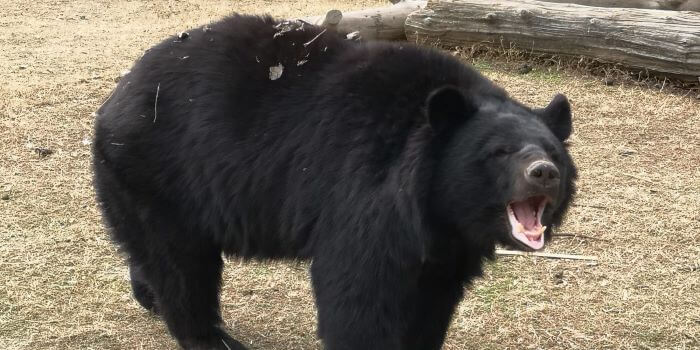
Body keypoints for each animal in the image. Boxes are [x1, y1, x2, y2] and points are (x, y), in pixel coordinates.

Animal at [91, 12, 576, 350]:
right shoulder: (365, 194)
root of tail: (113, 101)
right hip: (162, 171)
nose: (543, 174)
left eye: (552, 154)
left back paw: (148, 295)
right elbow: (358, 292)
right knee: (182, 265)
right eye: (499, 153)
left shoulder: (446, 247)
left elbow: (433, 301)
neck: (441, 208)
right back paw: (211, 336)